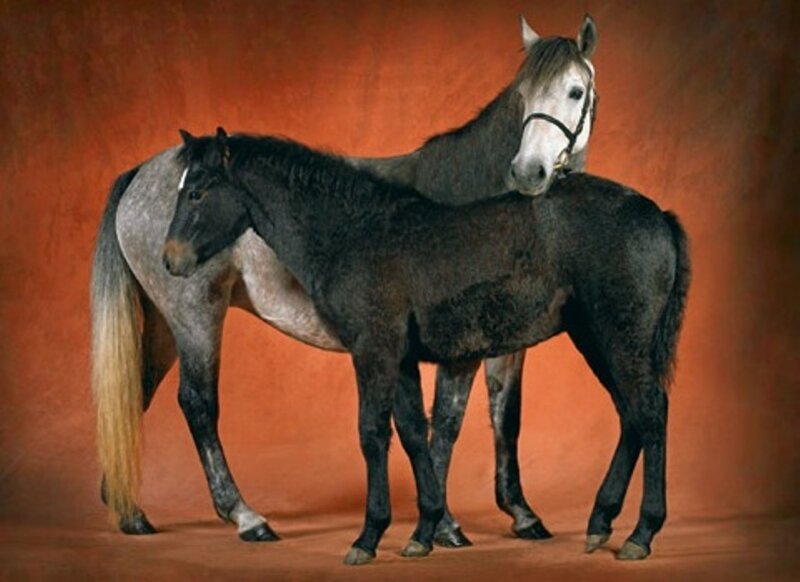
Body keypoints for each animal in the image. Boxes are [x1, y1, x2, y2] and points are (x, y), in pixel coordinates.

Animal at [91, 14, 599, 544]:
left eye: (576, 91)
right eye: (523, 95)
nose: (529, 172)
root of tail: (139, 173)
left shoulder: (502, 343)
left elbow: (504, 416)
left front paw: (521, 514)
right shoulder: (455, 346)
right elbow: (445, 423)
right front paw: (443, 524)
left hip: (164, 323)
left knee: (135, 394)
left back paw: (130, 511)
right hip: (196, 316)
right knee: (198, 404)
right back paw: (246, 517)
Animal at [162, 128, 690, 564]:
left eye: (198, 191)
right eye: (181, 188)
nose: (171, 261)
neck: (354, 232)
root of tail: (657, 214)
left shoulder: (373, 350)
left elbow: (373, 434)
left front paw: (368, 538)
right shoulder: (400, 360)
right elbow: (416, 433)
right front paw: (424, 532)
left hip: (620, 336)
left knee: (651, 413)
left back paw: (641, 534)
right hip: (597, 338)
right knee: (631, 416)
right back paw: (601, 523)